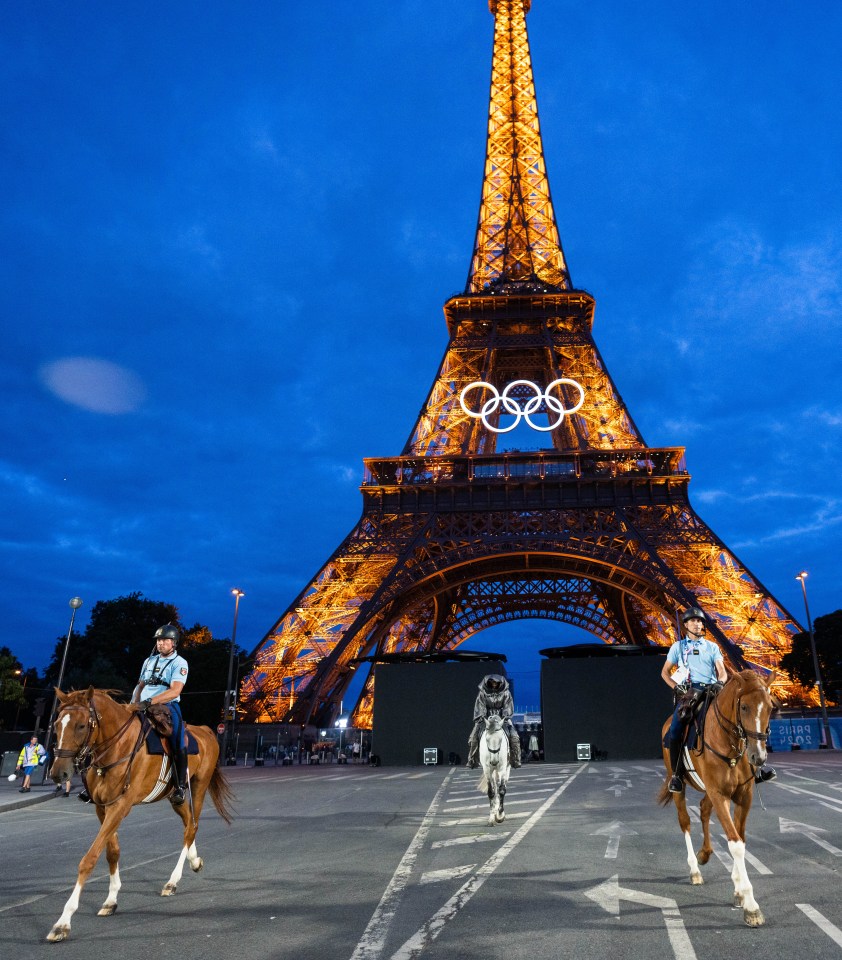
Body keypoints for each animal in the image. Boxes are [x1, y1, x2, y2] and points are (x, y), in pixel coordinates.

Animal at [48, 688, 235, 940]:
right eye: (56, 725)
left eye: (81, 726)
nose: (58, 773)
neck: (116, 747)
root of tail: (205, 730)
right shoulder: (103, 807)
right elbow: (112, 852)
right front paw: (111, 899)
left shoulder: (121, 806)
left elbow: (89, 859)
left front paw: (63, 921)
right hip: (173, 794)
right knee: (189, 822)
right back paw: (194, 861)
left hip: (199, 785)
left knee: (191, 828)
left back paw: (172, 881)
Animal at [656, 672, 776, 928]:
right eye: (744, 706)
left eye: (771, 707)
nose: (758, 757)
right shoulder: (719, 794)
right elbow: (736, 844)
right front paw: (751, 906)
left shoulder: (743, 795)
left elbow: (740, 838)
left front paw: (739, 891)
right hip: (681, 787)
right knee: (685, 822)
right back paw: (695, 869)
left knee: (703, 810)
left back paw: (705, 853)